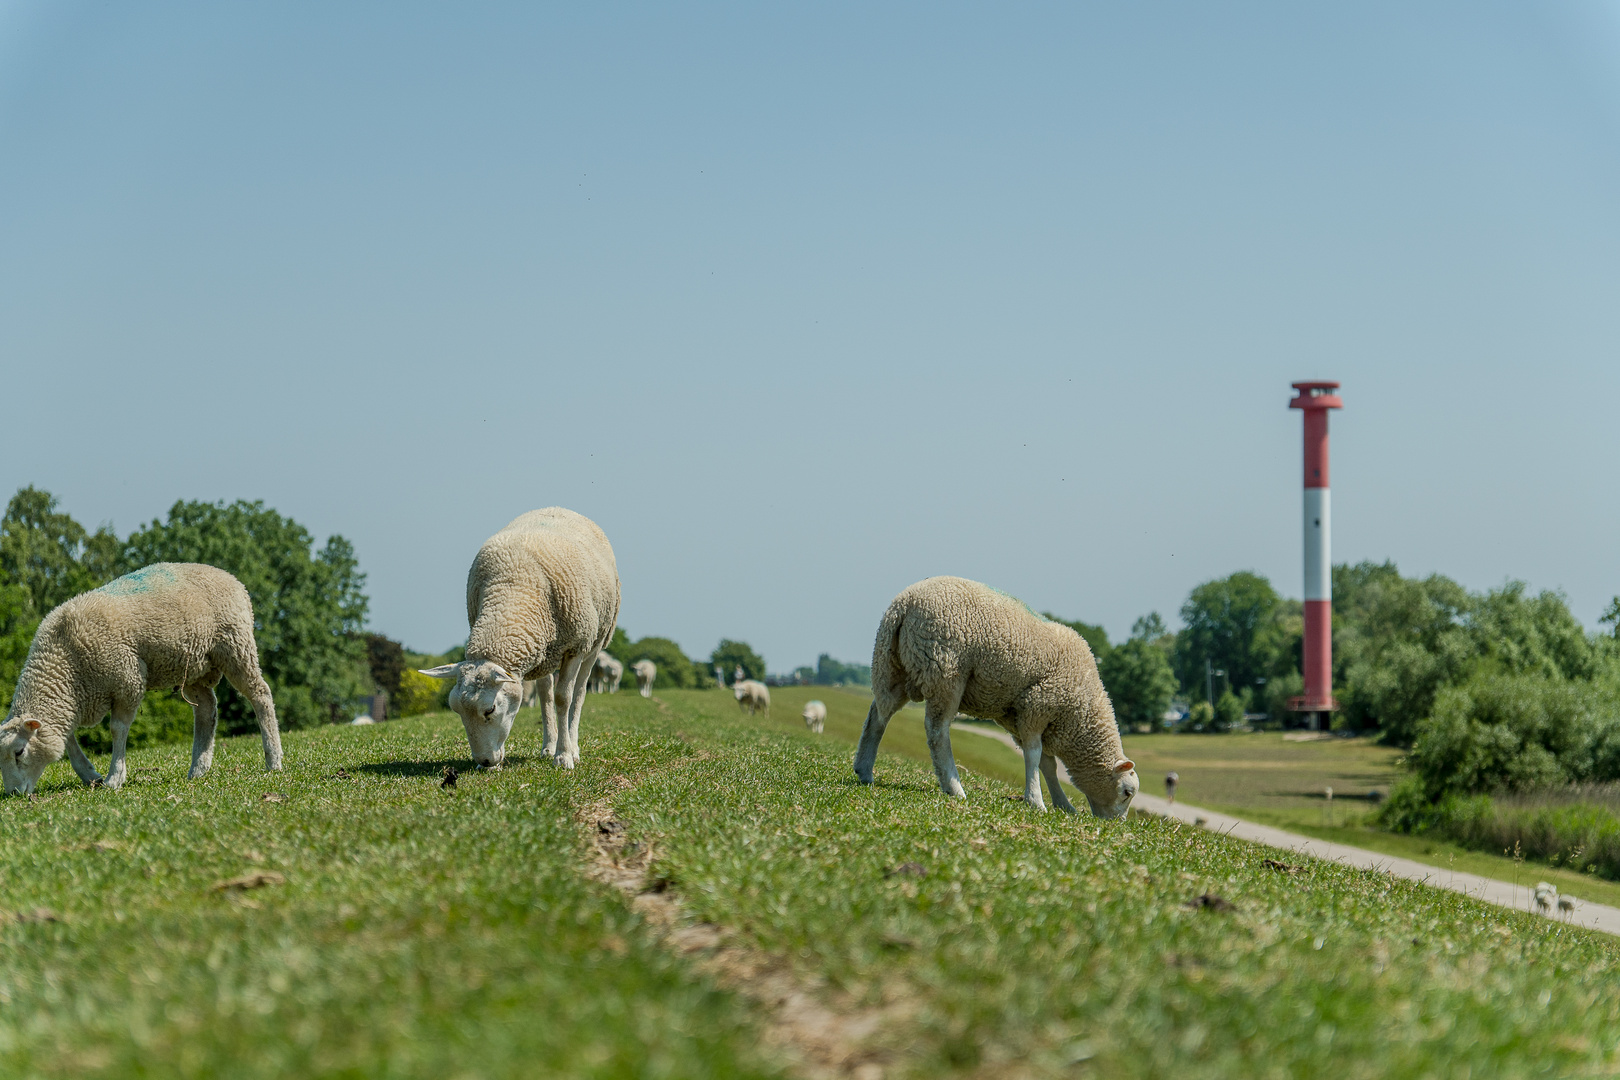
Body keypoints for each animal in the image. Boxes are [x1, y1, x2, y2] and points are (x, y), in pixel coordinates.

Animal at [0, 566, 281, 793]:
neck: (63, 662)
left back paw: (273, 760)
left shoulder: (128, 681)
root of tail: (232, 579)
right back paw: (198, 769)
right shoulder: (72, 700)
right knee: (207, 710)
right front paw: (90, 775)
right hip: (194, 666)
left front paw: (114, 778)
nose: (13, 793)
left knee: (260, 694)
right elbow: (67, 739)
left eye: (19, 752)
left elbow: (117, 729)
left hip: (235, 645)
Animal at [417, 511, 618, 773]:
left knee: (579, 692)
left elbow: (564, 698)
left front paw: (564, 756)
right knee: (545, 694)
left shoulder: (575, 647)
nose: (485, 761)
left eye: (490, 709)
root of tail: (558, 507)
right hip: (545, 652)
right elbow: (550, 697)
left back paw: (572, 748)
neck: (514, 584)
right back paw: (548, 746)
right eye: (456, 710)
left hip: (595, 641)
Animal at [848, 573, 1140, 819]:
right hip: (946, 670)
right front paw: (1036, 801)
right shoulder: (1038, 705)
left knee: (878, 716)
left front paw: (1062, 804)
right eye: (1127, 792)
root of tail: (904, 604)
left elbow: (1047, 764)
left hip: (892, 666)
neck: (1082, 712)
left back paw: (864, 771)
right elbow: (1035, 756)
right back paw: (954, 787)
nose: (1116, 824)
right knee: (937, 730)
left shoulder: (1020, 717)